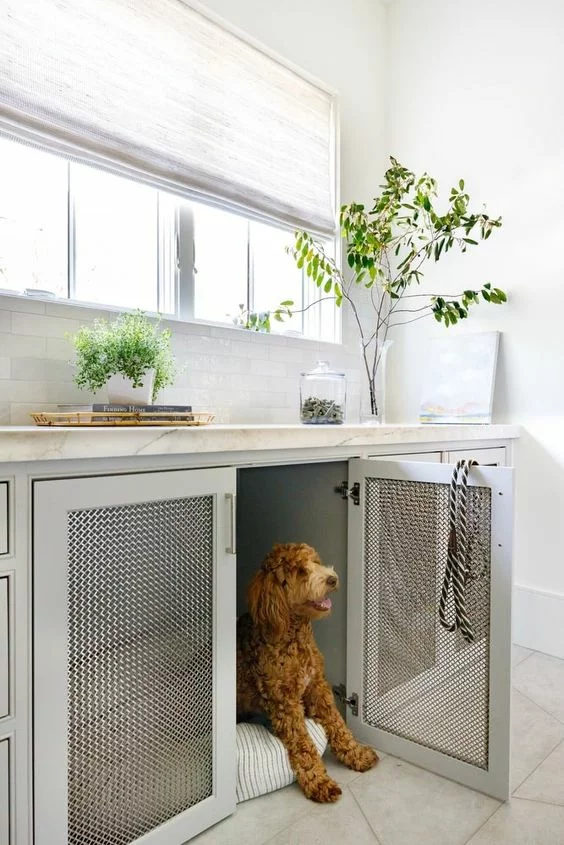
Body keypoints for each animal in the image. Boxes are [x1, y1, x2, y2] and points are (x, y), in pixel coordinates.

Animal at [236, 544, 376, 800]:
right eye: (301, 571)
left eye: (316, 561)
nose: (333, 579)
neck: (295, 636)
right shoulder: (285, 702)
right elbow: (303, 744)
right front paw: (318, 781)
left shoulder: (317, 687)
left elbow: (338, 724)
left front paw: (356, 754)